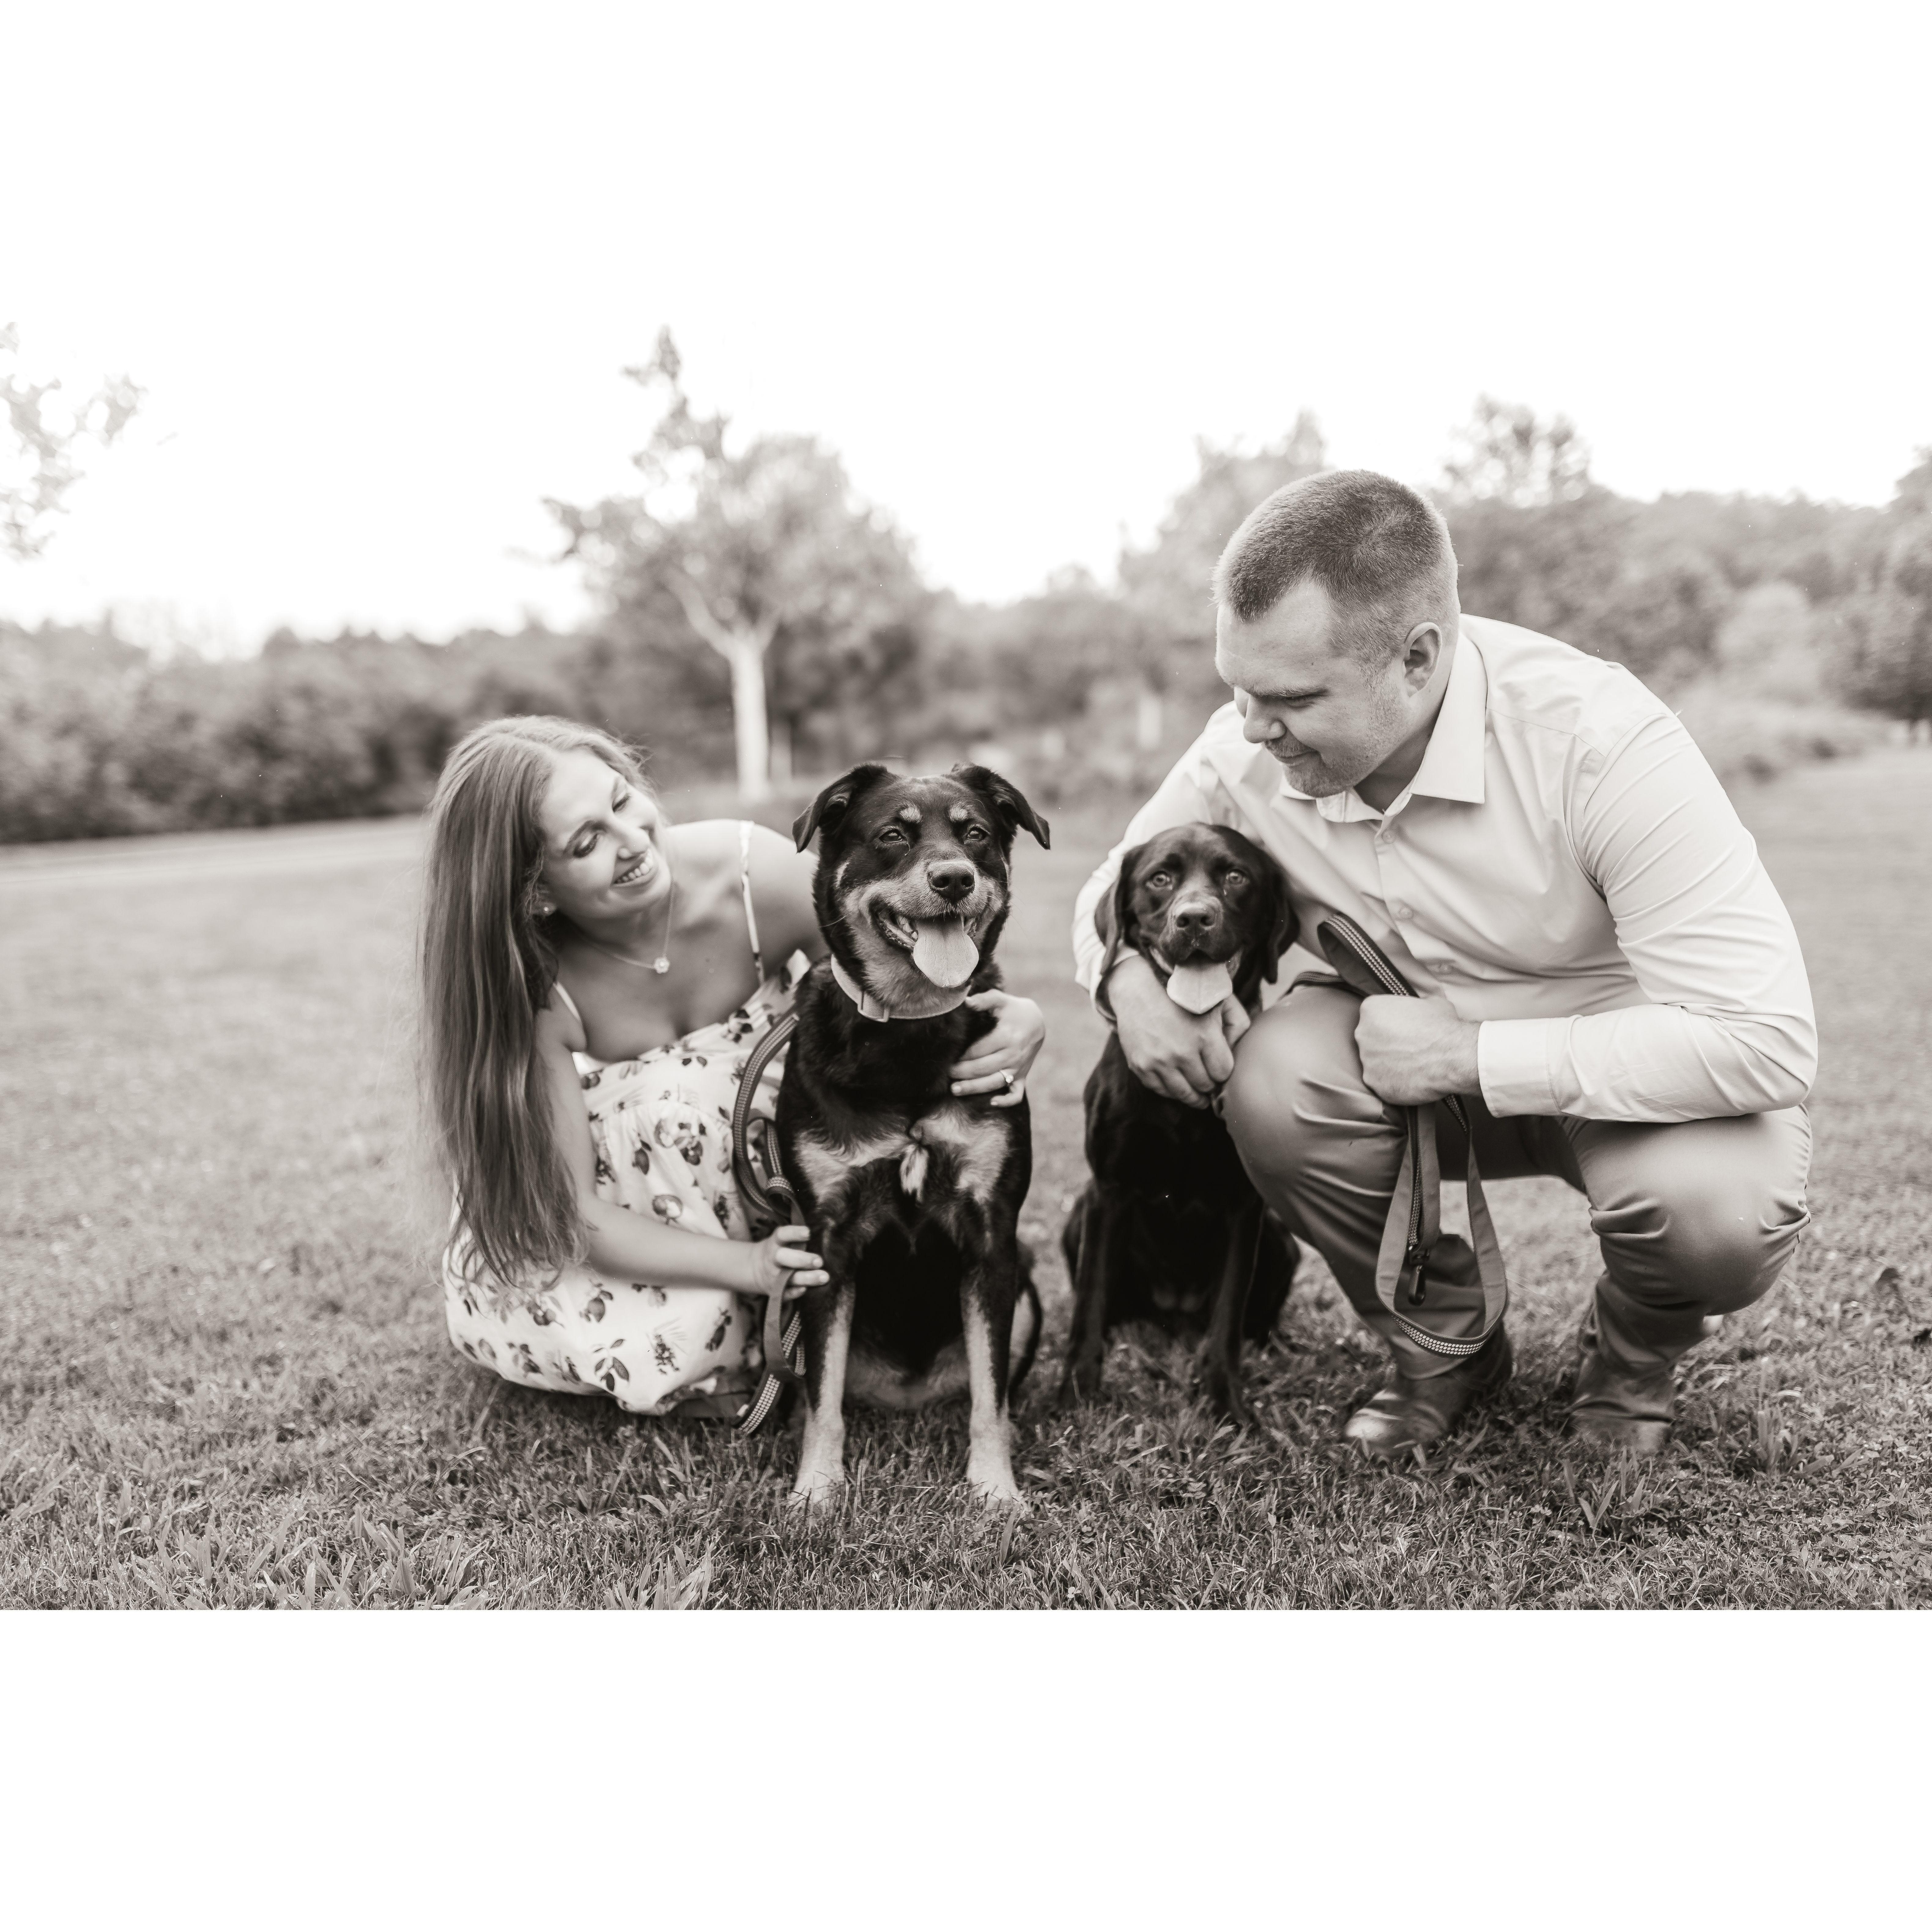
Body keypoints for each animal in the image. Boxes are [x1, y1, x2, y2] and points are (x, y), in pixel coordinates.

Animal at [775, 762, 1050, 1506]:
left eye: (975, 832)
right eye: (893, 835)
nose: (953, 878)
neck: (909, 1031)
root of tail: (907, 1396)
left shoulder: (992, 1238)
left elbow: (989, 1396)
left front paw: (995, 1491)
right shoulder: (826, 1242)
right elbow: (823, 1398)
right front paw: (816, 1491)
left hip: (1027, 1284)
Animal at [1060, 822, 1302, 1422]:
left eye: (1235, 877)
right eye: (1160, 879)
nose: (1194, 918)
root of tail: (1175, 1310)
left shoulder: (1245, 1206)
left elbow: (1228, 1317)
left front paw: (1224, 1401)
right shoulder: (1107, 1190)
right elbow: (1088, 1302)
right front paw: (1073, 1393)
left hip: (1281, 1239)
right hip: (1076, 1218)